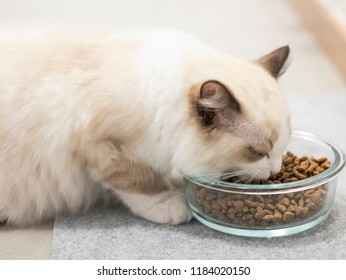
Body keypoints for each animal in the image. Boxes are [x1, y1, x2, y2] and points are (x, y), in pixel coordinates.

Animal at [0, 29, 290, 225]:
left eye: (281, 150)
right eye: (258, 152)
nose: (276, 169)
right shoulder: (101, 145)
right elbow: (138, 181)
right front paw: (170, 204)